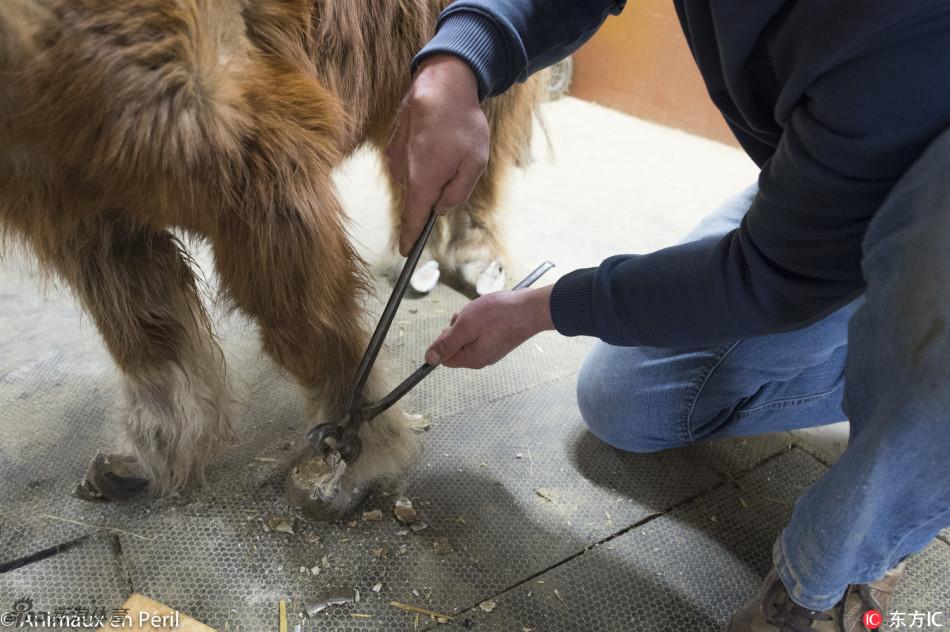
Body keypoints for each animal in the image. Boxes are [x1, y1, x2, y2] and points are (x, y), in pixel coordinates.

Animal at [0, 0, 548, 512]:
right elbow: (144, 334)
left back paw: (476, 261)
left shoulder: (261, 175)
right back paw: (419, 259)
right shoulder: (83, 219)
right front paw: (154, 453)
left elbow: (309, 328)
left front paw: (356, 456)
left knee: (479, 161)